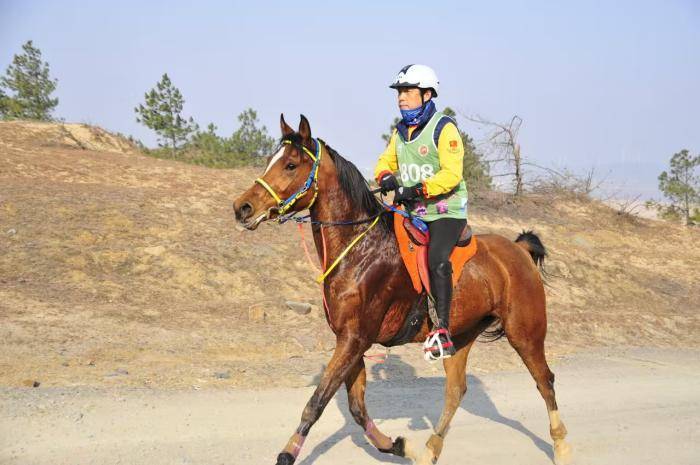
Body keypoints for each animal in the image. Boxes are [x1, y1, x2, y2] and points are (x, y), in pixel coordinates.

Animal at [232, 113, 572, 464]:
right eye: (271, 160)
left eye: (290, 165)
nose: (242, 207)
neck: (360, 248)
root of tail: (519, 250)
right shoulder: (351, 340)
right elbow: (356, 407)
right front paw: (397, 445)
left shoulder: (354, 339)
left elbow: (317, 402)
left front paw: (287, 453)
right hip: (462, 335)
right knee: (456, 391)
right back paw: (429, 450)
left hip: (525, 332)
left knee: (545, 380)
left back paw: (561, 447)